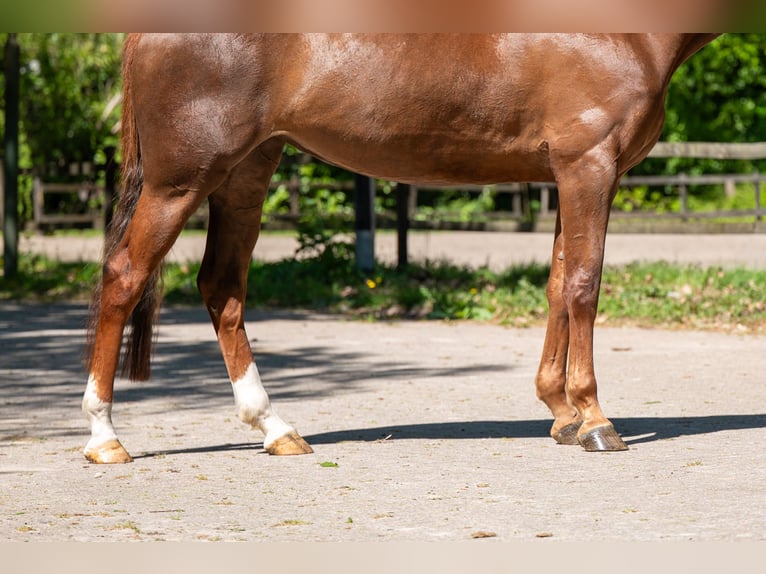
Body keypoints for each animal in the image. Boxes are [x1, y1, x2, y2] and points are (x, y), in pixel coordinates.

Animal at [83, 33, 719, 463]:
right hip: (180, 183)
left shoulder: (567, 176)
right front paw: (593, 420)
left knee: (222, 288)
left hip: (245, 174)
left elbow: (559, 287)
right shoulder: (589, 166)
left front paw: (561, 414)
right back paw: (105, 438)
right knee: (124, 276)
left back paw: (276, 429)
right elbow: (585, 286)